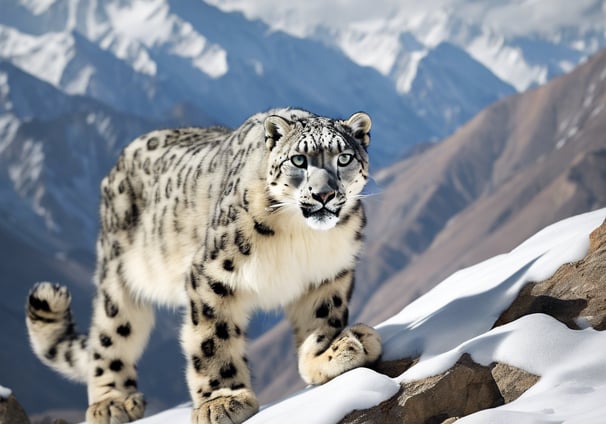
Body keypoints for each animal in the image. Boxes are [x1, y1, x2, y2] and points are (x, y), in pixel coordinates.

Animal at [27, 109, 384, 424]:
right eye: (299, 160)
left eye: (343, 158)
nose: (324, 194)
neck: (303, 236)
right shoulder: (213, 273)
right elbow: (213, 337)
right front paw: (222, 400)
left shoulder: (328, 273)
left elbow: (323, 317)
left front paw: (331, 351)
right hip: (118, 276)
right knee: (110, 334)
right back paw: (113, 402)